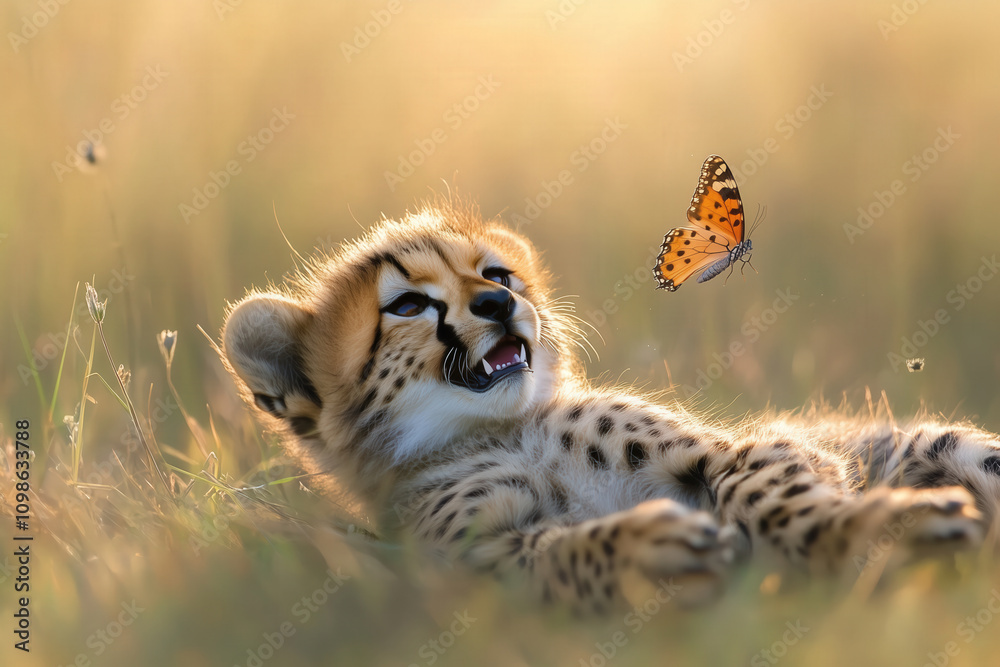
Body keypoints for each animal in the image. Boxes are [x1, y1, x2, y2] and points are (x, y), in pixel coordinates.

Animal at [221, 199, 1000, 612]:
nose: (500, 303)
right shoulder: (466, 568)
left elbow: (767, 492)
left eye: (496, 273)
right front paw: (649, 547)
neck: (501, 432)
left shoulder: (748, 449)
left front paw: (876, 529)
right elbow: (555, 555)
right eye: (407, 304)